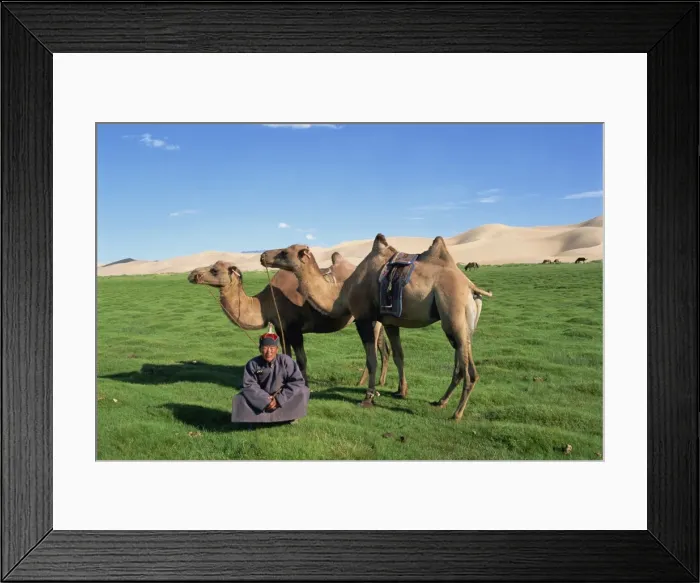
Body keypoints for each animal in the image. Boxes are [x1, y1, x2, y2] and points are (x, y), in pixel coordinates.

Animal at [187, 256, 390, 387]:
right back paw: (380, 382)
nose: (192, 274)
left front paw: (305, 385)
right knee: (383, 347)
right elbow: (286, 355)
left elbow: (301, 359)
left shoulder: (294, 328)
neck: (266, 302)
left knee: (373, 348)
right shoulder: (280, 328)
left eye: (214, 270)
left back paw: (363, 383)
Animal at [261, 234, 493, 421]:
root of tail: (471, 287)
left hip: (453, 312)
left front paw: (368, 396)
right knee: (462, 360)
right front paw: (401, 391)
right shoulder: (390, 321)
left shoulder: (363, 318)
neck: (341, 294)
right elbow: (399, 355)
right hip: (466, 322)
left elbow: (371, 359)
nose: (263, 255)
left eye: (284, 252)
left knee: (468, 368)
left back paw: (457, 412)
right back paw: (441, 401)